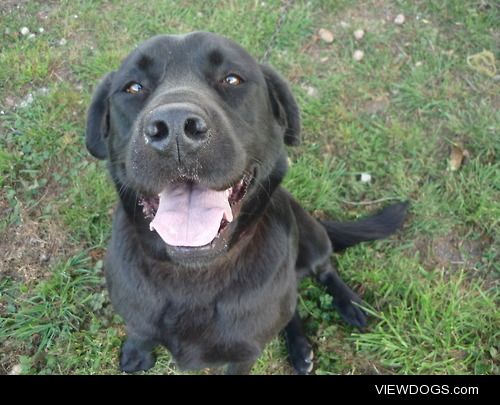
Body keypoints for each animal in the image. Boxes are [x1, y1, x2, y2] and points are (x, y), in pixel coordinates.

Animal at [86, 30, 406, 372]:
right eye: (133, 87)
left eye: (232, 79)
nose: (174, 128)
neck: (193, 276)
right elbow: (140, 330)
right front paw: (137, 351)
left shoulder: (245, 354)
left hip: (311, 235)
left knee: (324, 268)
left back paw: (350, 304)